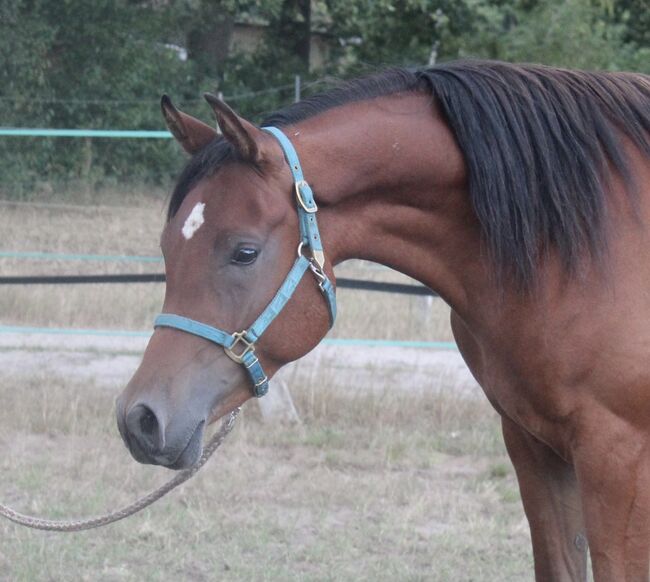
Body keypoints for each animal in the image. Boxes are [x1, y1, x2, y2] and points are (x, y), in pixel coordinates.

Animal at [115, 61, 648, 580]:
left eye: (244, 252)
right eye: (167, 247)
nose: (139, 419)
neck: (582, 252)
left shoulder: (616, 458)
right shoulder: (533, 445)